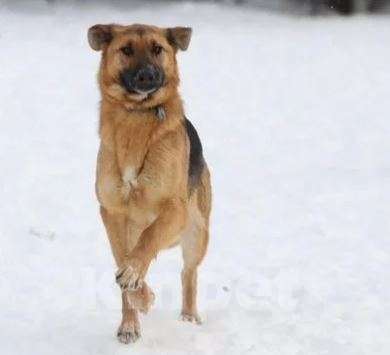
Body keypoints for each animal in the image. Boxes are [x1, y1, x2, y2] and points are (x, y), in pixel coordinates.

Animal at [88, 23, 212, 344]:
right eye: (126, 49)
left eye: (158, 49)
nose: (146, 75)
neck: (136, 116)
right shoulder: (112, 214)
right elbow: (124, 263)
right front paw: (138, 303)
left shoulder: (174, 209)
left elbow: (148, 241)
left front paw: (135, 279)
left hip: (197, 233)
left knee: (188, 274)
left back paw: (188, 317)